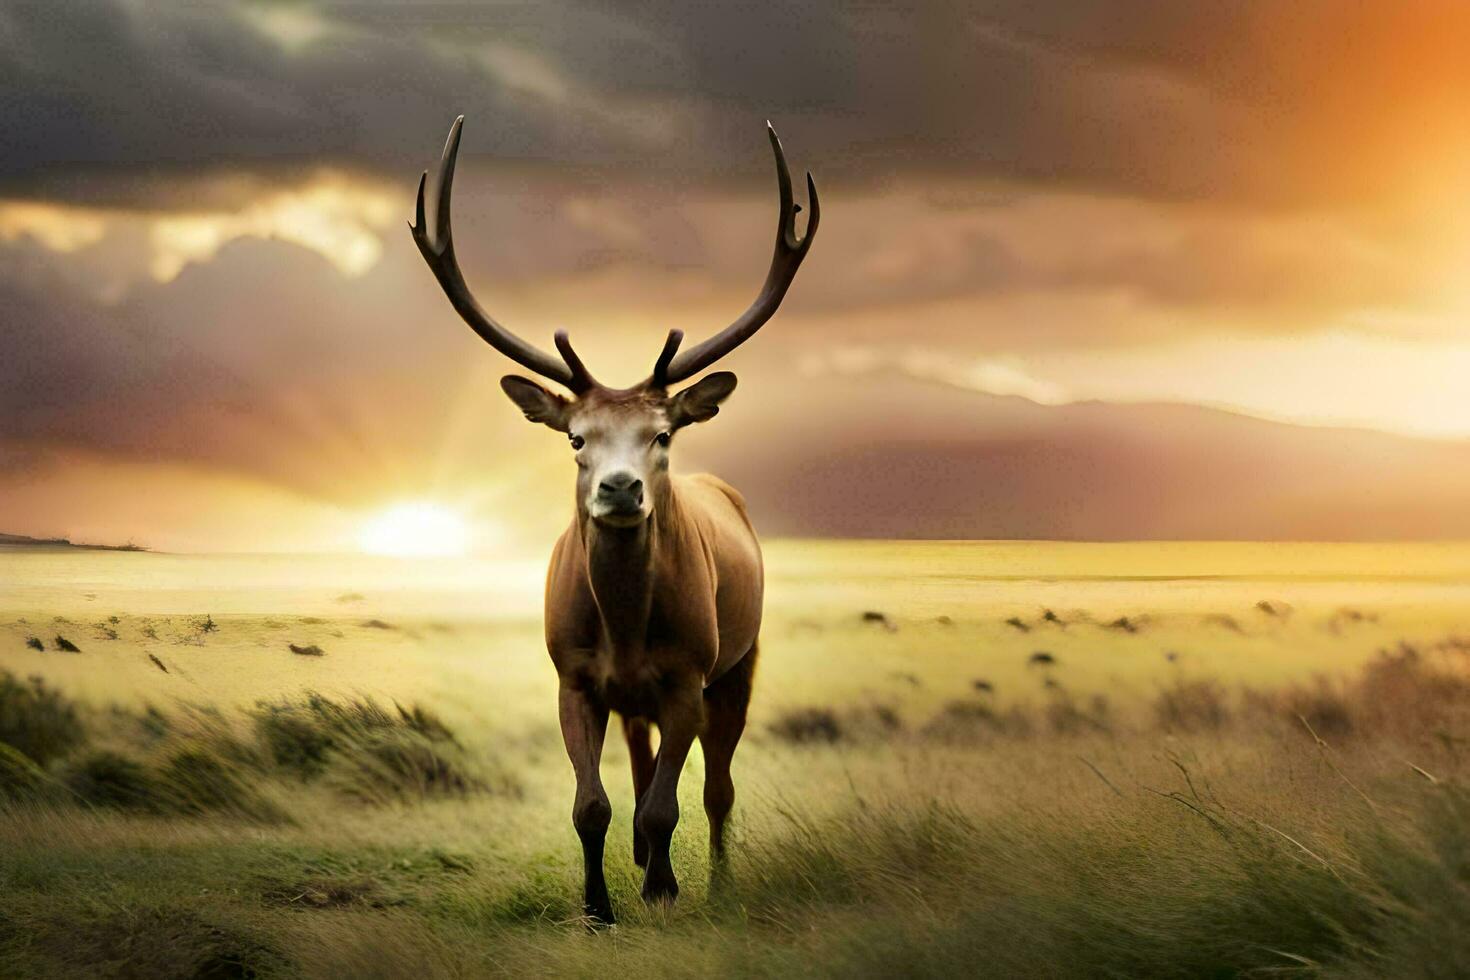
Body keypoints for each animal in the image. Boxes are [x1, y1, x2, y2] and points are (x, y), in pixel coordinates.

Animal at [408, 116, 817, 928]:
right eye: (575, 438)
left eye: (662, 435)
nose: (620, 490)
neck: (626, 627)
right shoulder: (573, 676)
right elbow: (591, 805)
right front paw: (598, 904)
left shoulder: (689, 675)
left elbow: (668, 805)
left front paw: (662, 888)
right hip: (638, 700)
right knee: (639, 768)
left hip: (738, 665)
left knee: (716, 789)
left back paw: (711, 880)